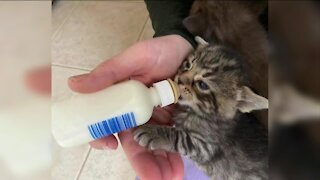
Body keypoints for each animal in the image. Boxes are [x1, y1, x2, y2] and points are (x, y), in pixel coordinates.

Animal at [134, 37, 268, 179]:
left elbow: (179, 137)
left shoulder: (206, 147)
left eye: (202, 85)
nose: (179, 80)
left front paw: (152, 132)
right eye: (188, 65)